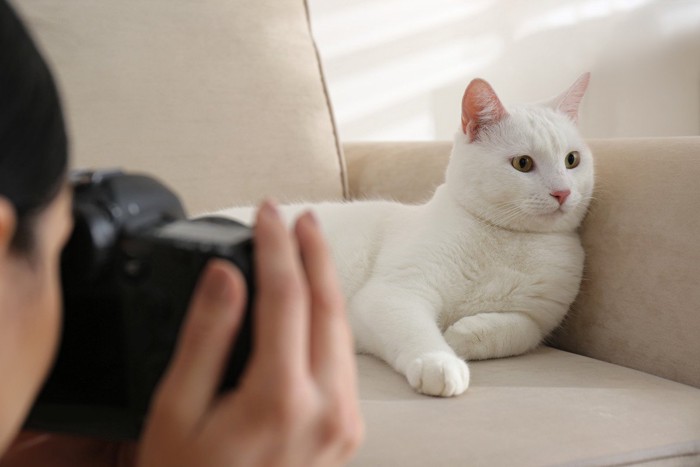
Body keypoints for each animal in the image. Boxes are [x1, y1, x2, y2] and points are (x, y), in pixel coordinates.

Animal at [216, 74, 592, 398]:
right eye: (523, 164)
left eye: (572, 160)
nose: (562, 192)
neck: (508, 239)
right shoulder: (394, 293)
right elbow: (418, 331)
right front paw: (440, 362)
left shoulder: (538, 319)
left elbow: (516, 331)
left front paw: (461, 335)